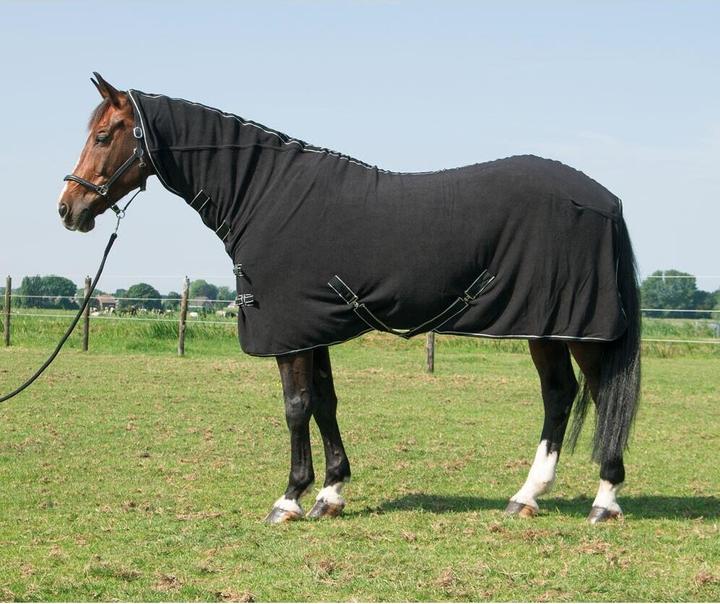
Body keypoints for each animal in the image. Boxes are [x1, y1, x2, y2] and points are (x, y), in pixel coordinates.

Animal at [58, 73, 641, 524]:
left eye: (105, 134)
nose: (68, 208)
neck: (266, 196)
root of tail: (606, 199)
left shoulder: (290, 333)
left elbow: (295, 407)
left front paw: (289, 499)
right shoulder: (312, 326)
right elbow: (324, 402)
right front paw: (330, 493)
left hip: (575, 327)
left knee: (595, 392)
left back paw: (604, 502)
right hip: (547, 328)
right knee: (560, 395)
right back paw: (526, 497)